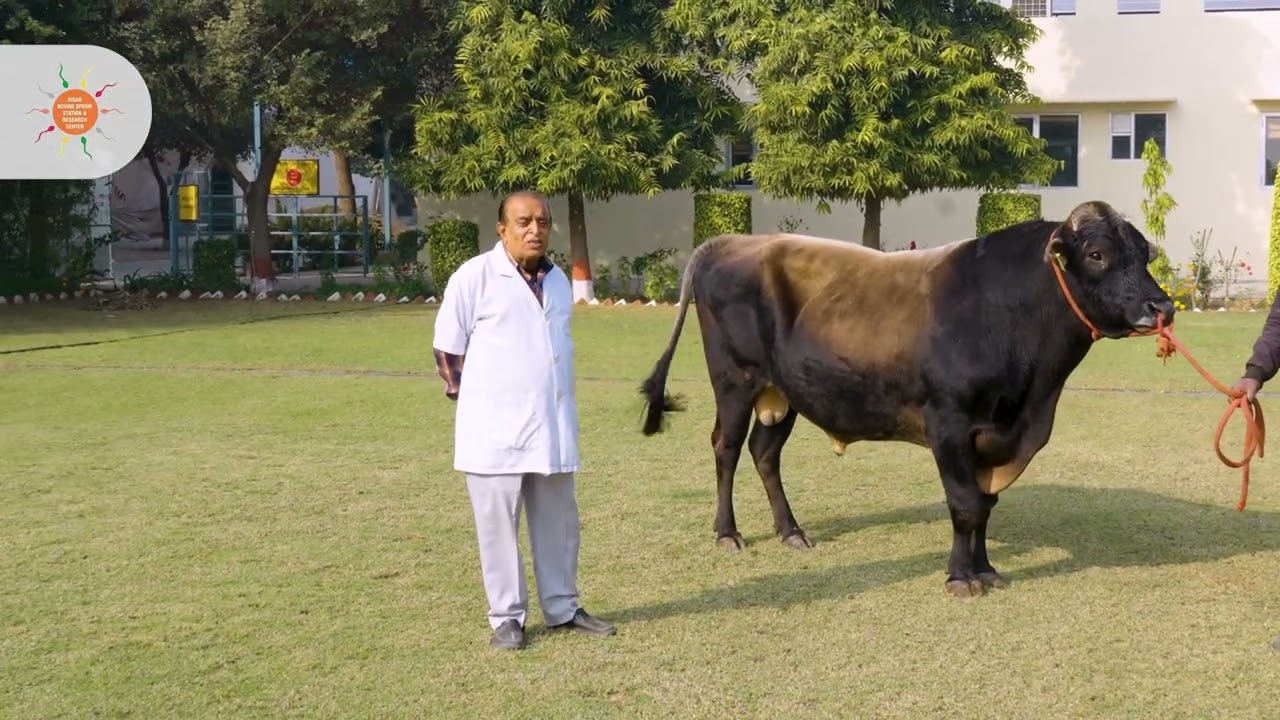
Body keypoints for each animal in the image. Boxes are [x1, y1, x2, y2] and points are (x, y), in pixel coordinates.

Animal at [638, 200, 1176, 598]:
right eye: (1098, 254)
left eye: (1144, 255)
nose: (1162, 306)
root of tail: (734, 241)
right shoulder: (950, 424)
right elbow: (965, 505)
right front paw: (960, 577)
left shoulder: (996, 434)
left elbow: (985, 505)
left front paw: (985, 568)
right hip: (735, 380)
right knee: (726, 448)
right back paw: (727, 533)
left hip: (784, 391)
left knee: (764, 452)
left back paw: (791, 531)